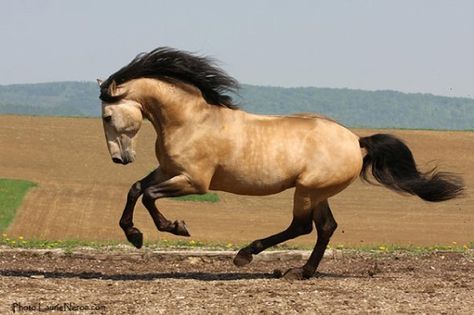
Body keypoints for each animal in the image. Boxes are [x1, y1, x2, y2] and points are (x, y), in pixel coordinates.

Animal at [96, 47, 462, 282]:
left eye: (107, 116)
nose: (119, 159)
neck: (190, 121)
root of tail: (356, 142)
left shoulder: (194, 182)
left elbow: (149, 196)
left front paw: (174, 227)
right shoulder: (169, 171)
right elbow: (136, 189)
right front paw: (134, 235)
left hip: (307, 190)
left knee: (302, 227)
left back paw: (247, 255)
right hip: (317, 193)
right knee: (326, 227)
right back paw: (300, 272)